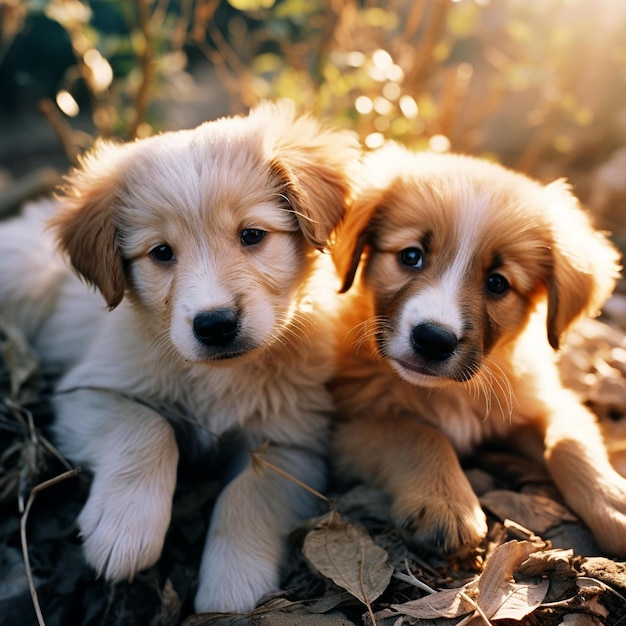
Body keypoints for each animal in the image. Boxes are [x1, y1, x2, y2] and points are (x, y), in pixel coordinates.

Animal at [0, 101, 358, 608]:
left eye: (252, 235)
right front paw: (125, 528)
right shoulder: (87, 391)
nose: (215, 324)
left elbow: (249, 494)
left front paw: (232, 586)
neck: (219, 375)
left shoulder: (293, 443)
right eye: (161, 252)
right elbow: (148, 428)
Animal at [326, 145, 624, 556]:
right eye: (411, 256)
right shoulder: (346, 427)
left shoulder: (547, 400)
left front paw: (615, 502)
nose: (433, 339)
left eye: (497, 283)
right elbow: (416, 432)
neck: (451, 393)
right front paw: (447, 502)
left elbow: (569, 443)